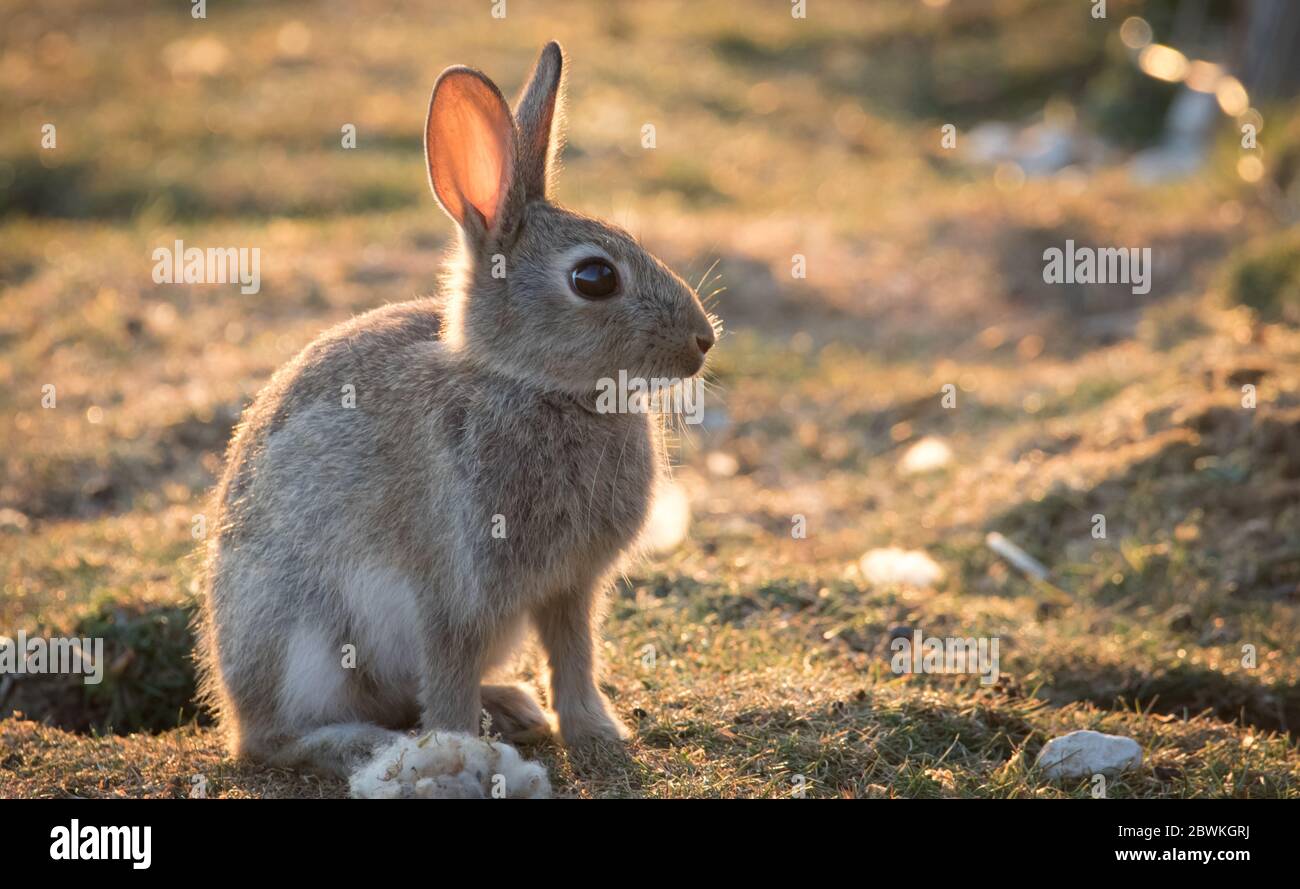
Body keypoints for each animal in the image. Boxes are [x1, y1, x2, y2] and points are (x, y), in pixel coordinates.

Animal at [193, 41, 722, 779]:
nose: (704, 341)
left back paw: (510, 707)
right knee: (272, 740)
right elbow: (448, 679)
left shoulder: (570, 586)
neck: (532, 384)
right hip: (302, 644)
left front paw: (598, 734)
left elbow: (574, 658)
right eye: (594, 277)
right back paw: (372, 745)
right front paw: (459, 750)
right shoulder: (451, 594)